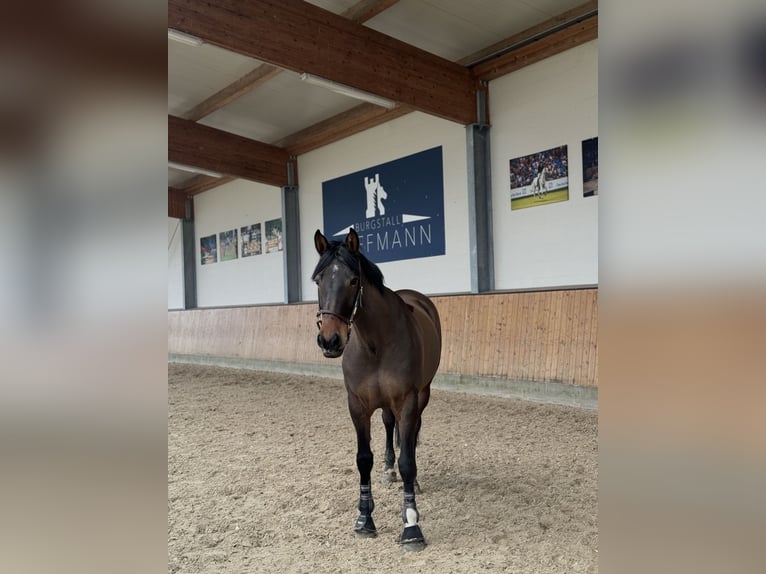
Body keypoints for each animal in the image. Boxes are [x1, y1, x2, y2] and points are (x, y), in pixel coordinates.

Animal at [312, 228, 442, 552]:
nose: (330, 340)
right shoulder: (357, 405)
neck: (376, 343)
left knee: (411, 434)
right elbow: (363, 459)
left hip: (423, 395)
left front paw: (411, 525)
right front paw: (364, 520)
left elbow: (408, 460)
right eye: (318, 280)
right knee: (387, 424)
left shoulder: (407, 401)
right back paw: (388, 470)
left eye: (353, 280)